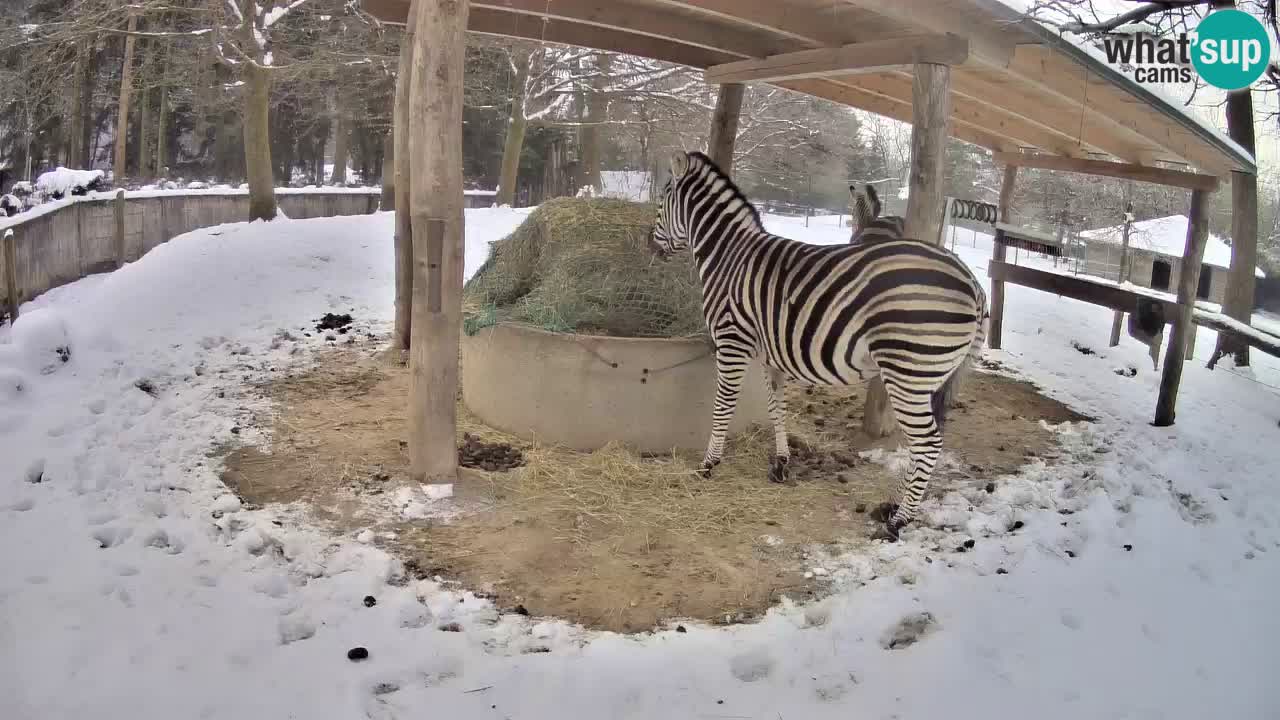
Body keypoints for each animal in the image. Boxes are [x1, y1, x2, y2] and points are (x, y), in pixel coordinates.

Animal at [648, 151, 988, 540]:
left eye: (662, 199)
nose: (649, 245)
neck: (728, 257)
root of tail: (973, 283)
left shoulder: (732, 341)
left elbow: (723, 406)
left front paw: (708, 464)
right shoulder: (771, 355)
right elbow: (776, 407)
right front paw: (780, 463)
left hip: (908, 373)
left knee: (928, 444)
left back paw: (898, 521)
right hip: (931, 378)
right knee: (925, 446)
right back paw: (894, 507)